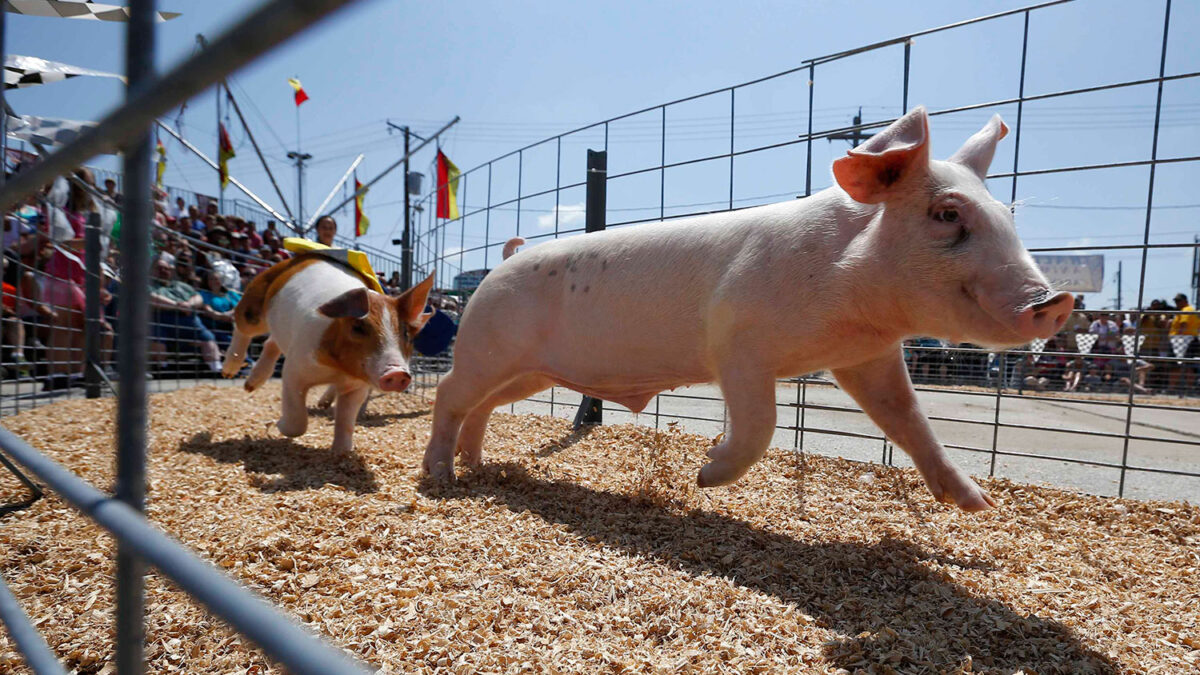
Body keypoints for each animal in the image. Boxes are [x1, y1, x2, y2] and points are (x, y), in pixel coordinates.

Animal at [420, 107, 1070, 509]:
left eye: (1008, 215)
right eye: (947, 214)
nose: (1056, 300)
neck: (851, 308)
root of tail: (506, 257)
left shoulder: (867, 357)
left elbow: (910, 422)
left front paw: (978, 505)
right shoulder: (735, 342)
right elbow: (760, 424)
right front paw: (705, 474)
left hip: (529, 370)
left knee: (482, 405)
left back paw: (479, 466)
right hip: (488, 342)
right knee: (451, 392)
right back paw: (441, 477)